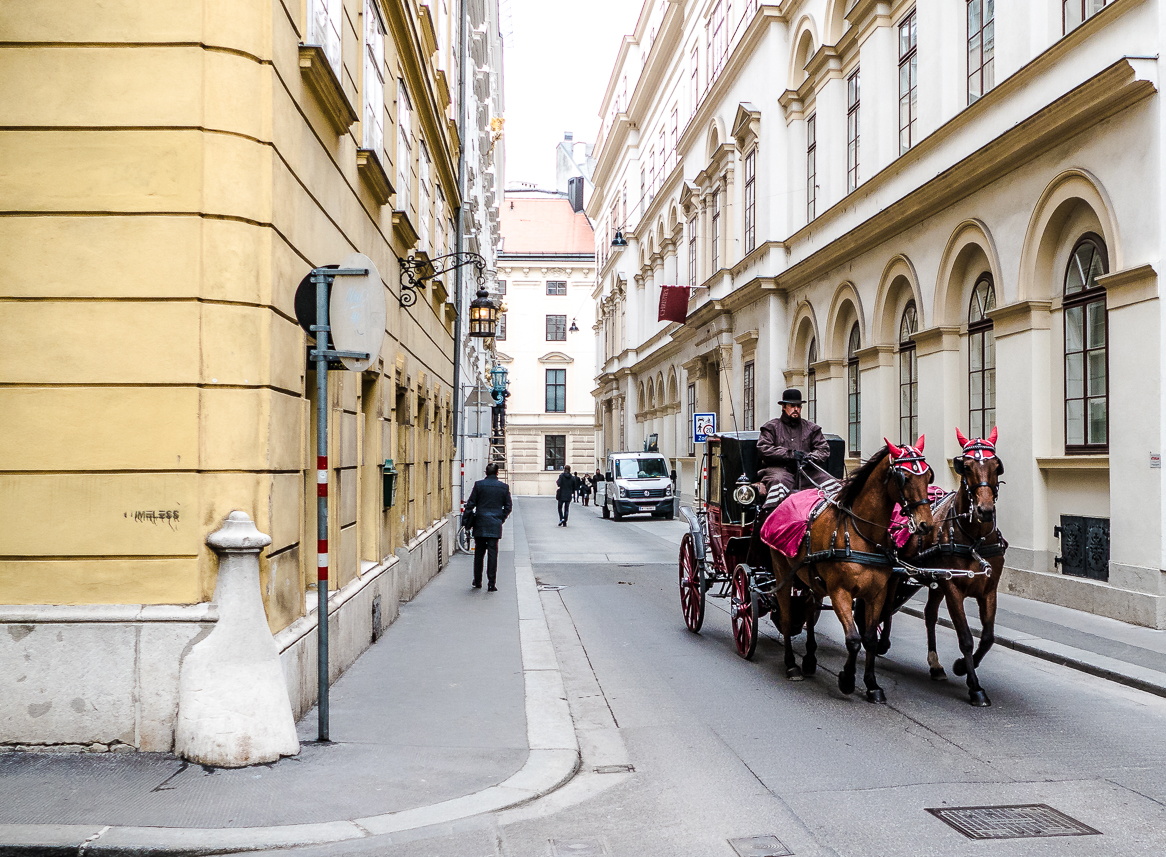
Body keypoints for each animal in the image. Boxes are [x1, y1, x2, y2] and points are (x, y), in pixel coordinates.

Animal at [774, 443, 937, 704]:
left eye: (928, 475)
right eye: (903, 477)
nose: (926, 525)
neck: (862, 536)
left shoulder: (876, 594)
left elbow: (869, 639)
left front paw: (872, 685)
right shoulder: (840, 592)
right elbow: (853, 639)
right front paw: (847, 680)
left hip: (811, 580)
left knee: (809, 611)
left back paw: (809, 659)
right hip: (782, 574)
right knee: (788, 619)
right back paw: (791, 665)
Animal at [923, 426, 1007, 708]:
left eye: (996, 466)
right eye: (966, 466)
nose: (985, 511)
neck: (974, 540)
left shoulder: (989, 590)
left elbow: (988, 637)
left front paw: (961, 667)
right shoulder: (953, 589)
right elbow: (966, 638)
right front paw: (975, 687)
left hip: (935, 583)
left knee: (929, 614)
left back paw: (935, 665)